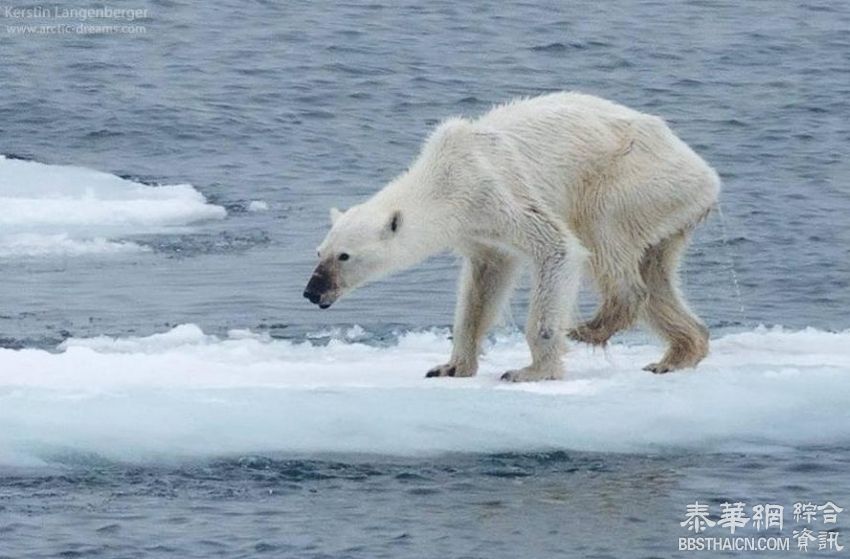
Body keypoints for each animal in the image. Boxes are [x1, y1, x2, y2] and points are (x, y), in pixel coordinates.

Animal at [304, 93, 716, 380]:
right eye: (319, 252)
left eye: (344, 256)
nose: (312, 291)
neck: (445, 178)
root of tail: (707, 175)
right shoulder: (476, 230)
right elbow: (483, 284)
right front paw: (450, 367)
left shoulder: (494, 191)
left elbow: (558, 247)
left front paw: (530, 371)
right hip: (666, 210)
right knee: (657, 274)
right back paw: (677, 354)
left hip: (633, 180)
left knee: (604, 234)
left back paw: (591, 327)